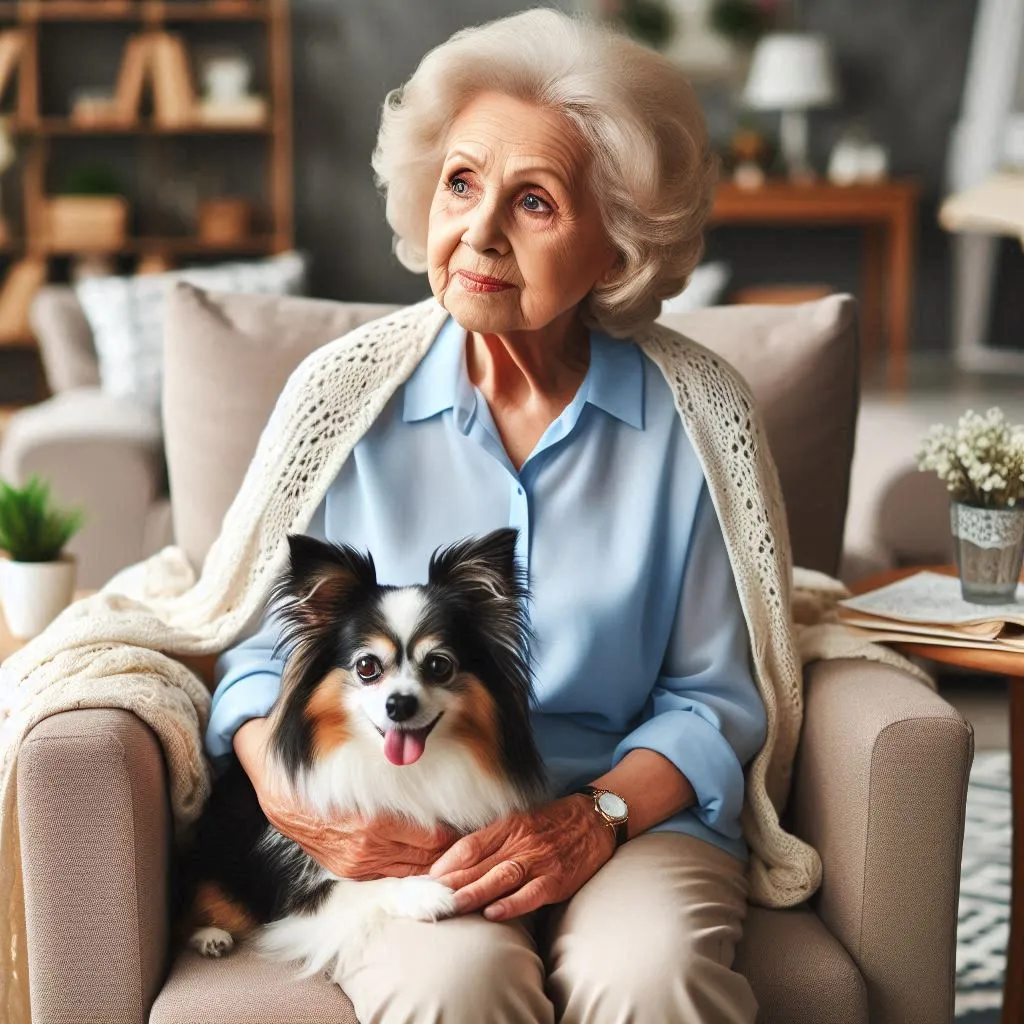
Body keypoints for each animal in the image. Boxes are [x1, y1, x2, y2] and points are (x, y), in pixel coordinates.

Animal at [178, 532, 544, 978]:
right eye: (367, 666)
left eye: (439, 666)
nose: (399, 704)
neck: (403, 772)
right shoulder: (302, 895)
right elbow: (362, 886)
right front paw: (424, 892)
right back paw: (210, 936)